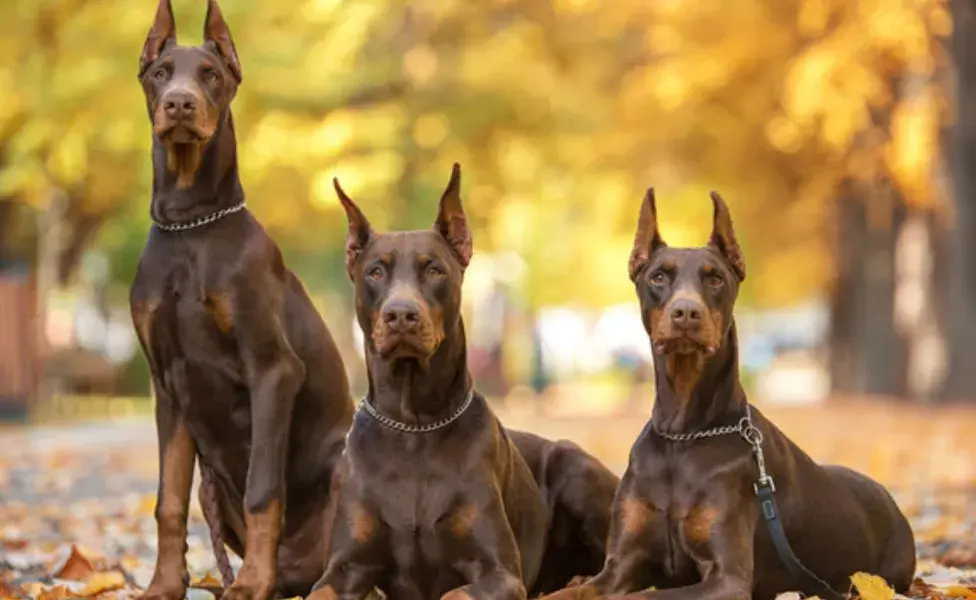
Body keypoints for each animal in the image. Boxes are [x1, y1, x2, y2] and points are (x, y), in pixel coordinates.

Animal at [132, 2, 352, 596]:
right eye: (160, 73)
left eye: (211, 74)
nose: (179, 103)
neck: (190, 224)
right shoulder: (166, 385)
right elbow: (167, 501)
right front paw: (164, 584)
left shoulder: (272, 370)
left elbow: (263, 491)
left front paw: (250, 581)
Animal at [306, 164, 616, 600]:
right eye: (375, 271)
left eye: (434, 269)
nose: (401, 315)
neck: (414, 426)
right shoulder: (344, 566)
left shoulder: (499, 571)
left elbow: (454, 592)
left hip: (576, 468)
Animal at [540, 191, 916, 600]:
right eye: (658, 276)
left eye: (715, 278)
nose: (686, 312)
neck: (683, 436)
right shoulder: (618, 566)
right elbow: (568, 592)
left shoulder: (727, 577)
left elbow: (646, 596)